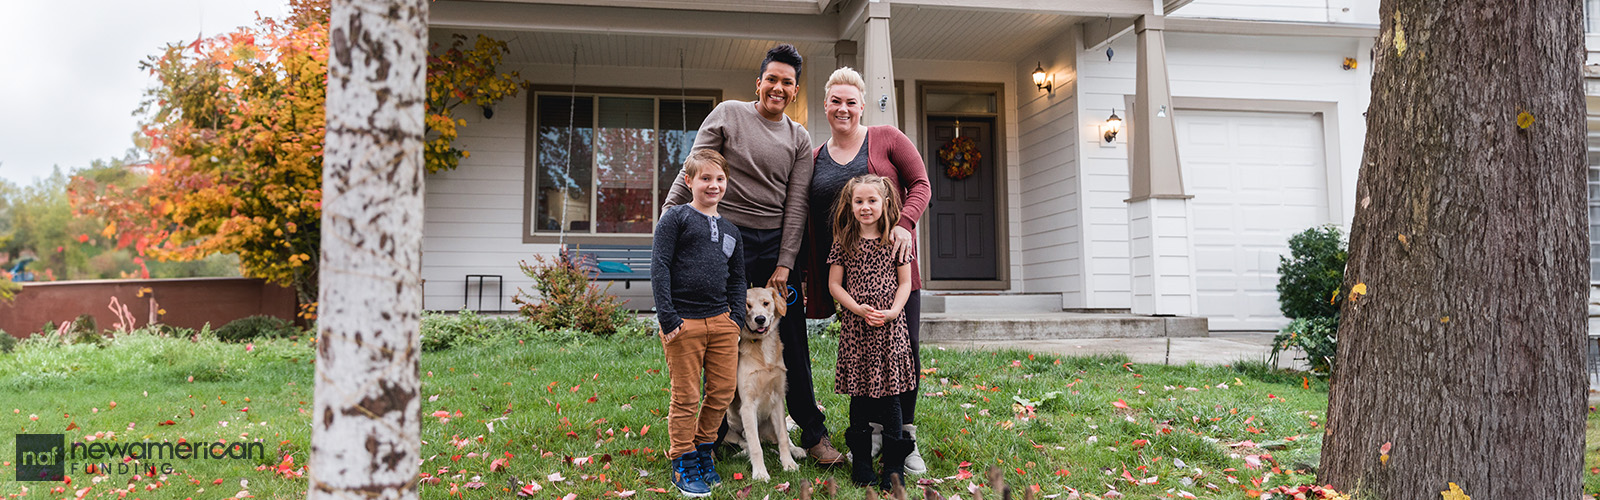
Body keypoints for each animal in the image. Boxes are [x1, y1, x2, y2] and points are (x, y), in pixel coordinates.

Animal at [723, 286, 800, 483]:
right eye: (747, 305)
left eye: (766, 303)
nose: (760, 319)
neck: (763, 347)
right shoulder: (748, 405)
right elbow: (755, 445)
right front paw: (759, 473)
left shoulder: (778, 399)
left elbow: (783, 437)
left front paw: (789, 464)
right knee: (745, 442)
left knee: (782, 437)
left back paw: (797, 450)